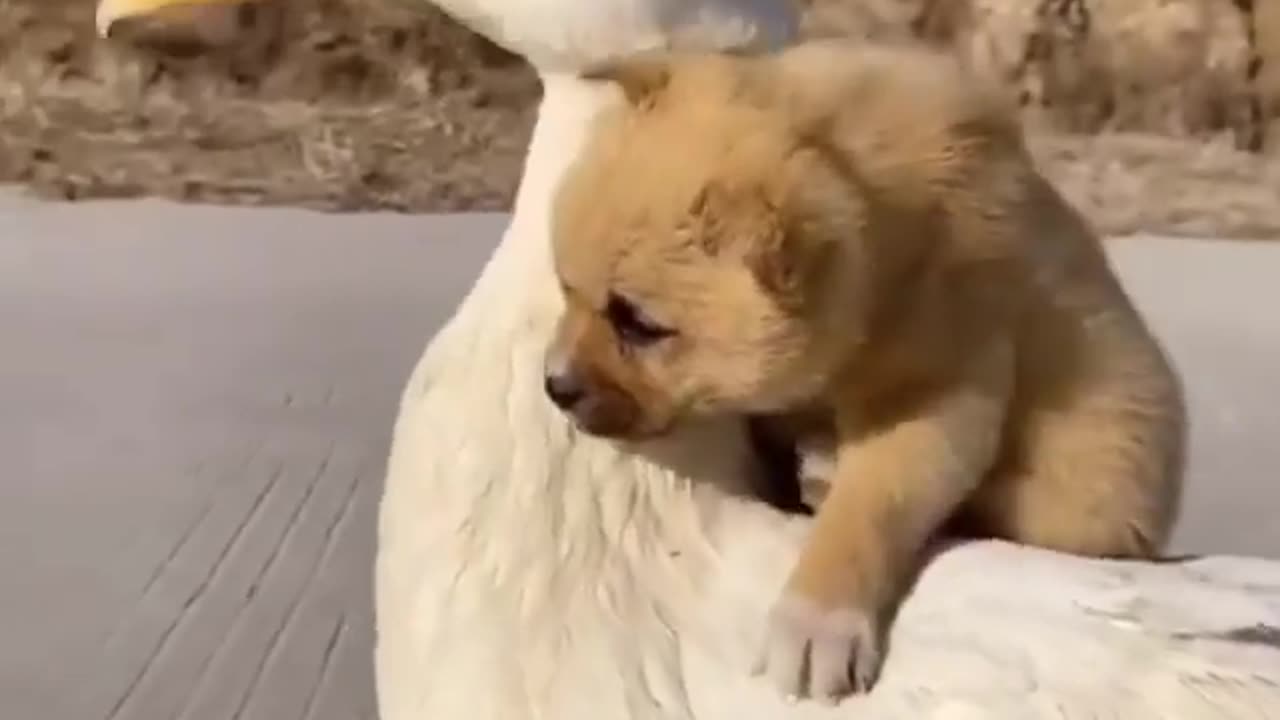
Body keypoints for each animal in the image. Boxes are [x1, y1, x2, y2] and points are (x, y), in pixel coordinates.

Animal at [537, 37, 1177, 702]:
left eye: (639, 324)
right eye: (568, 288)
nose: (555, 386)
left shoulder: (936, 384)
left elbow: (871, 503)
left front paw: (817, 623)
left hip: (1096, 472)